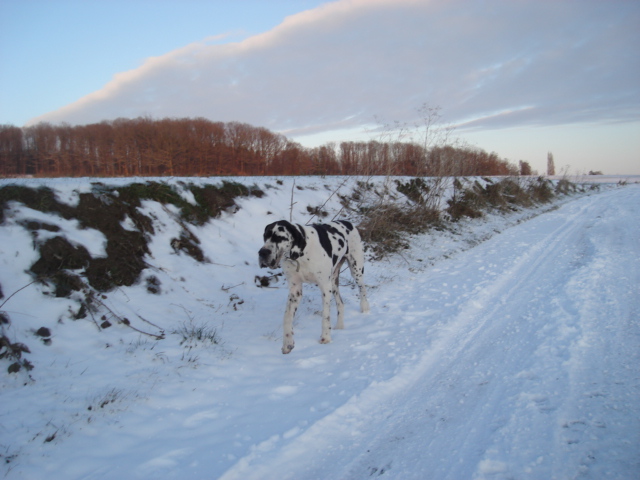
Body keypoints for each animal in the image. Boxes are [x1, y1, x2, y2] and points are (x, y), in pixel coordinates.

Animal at [258, 220, 370, 352]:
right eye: (265, 236)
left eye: (280, 237)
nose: (262, 252)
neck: (301, 254)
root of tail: (347, 222)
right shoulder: (295, 290)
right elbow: (287, 317)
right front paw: (287, 342)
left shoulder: (325, 287)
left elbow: (326, 315)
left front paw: (326, 337)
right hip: (333, 280)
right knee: (340, 303)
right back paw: (340, 325)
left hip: (356, 270)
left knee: (362, 289)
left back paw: (365, 309)